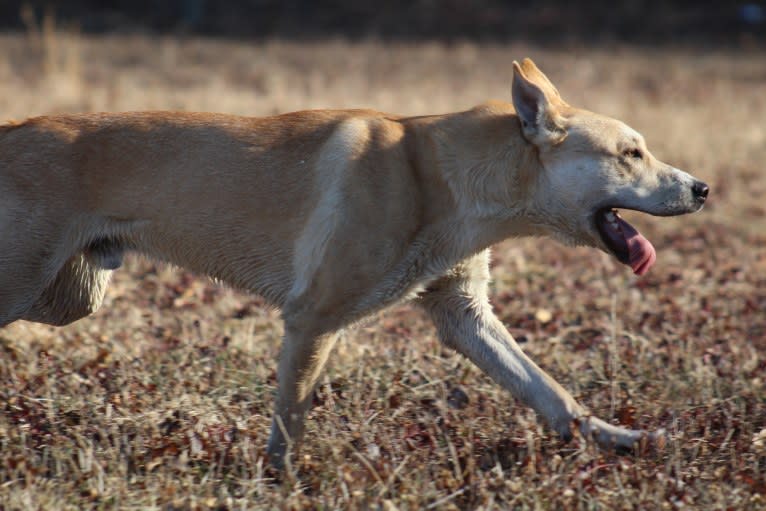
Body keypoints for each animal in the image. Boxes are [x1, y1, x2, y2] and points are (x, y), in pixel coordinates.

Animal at [0, 58, 708, 466]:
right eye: (631, 153)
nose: (703, 189)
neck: (443, 181)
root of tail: (11, 130)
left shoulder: (465, 315)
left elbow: (552, 395)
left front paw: (620, 439)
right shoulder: (312, 319)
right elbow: (289, 423)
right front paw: (281, 484)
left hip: (70, 296)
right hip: (35, 286)